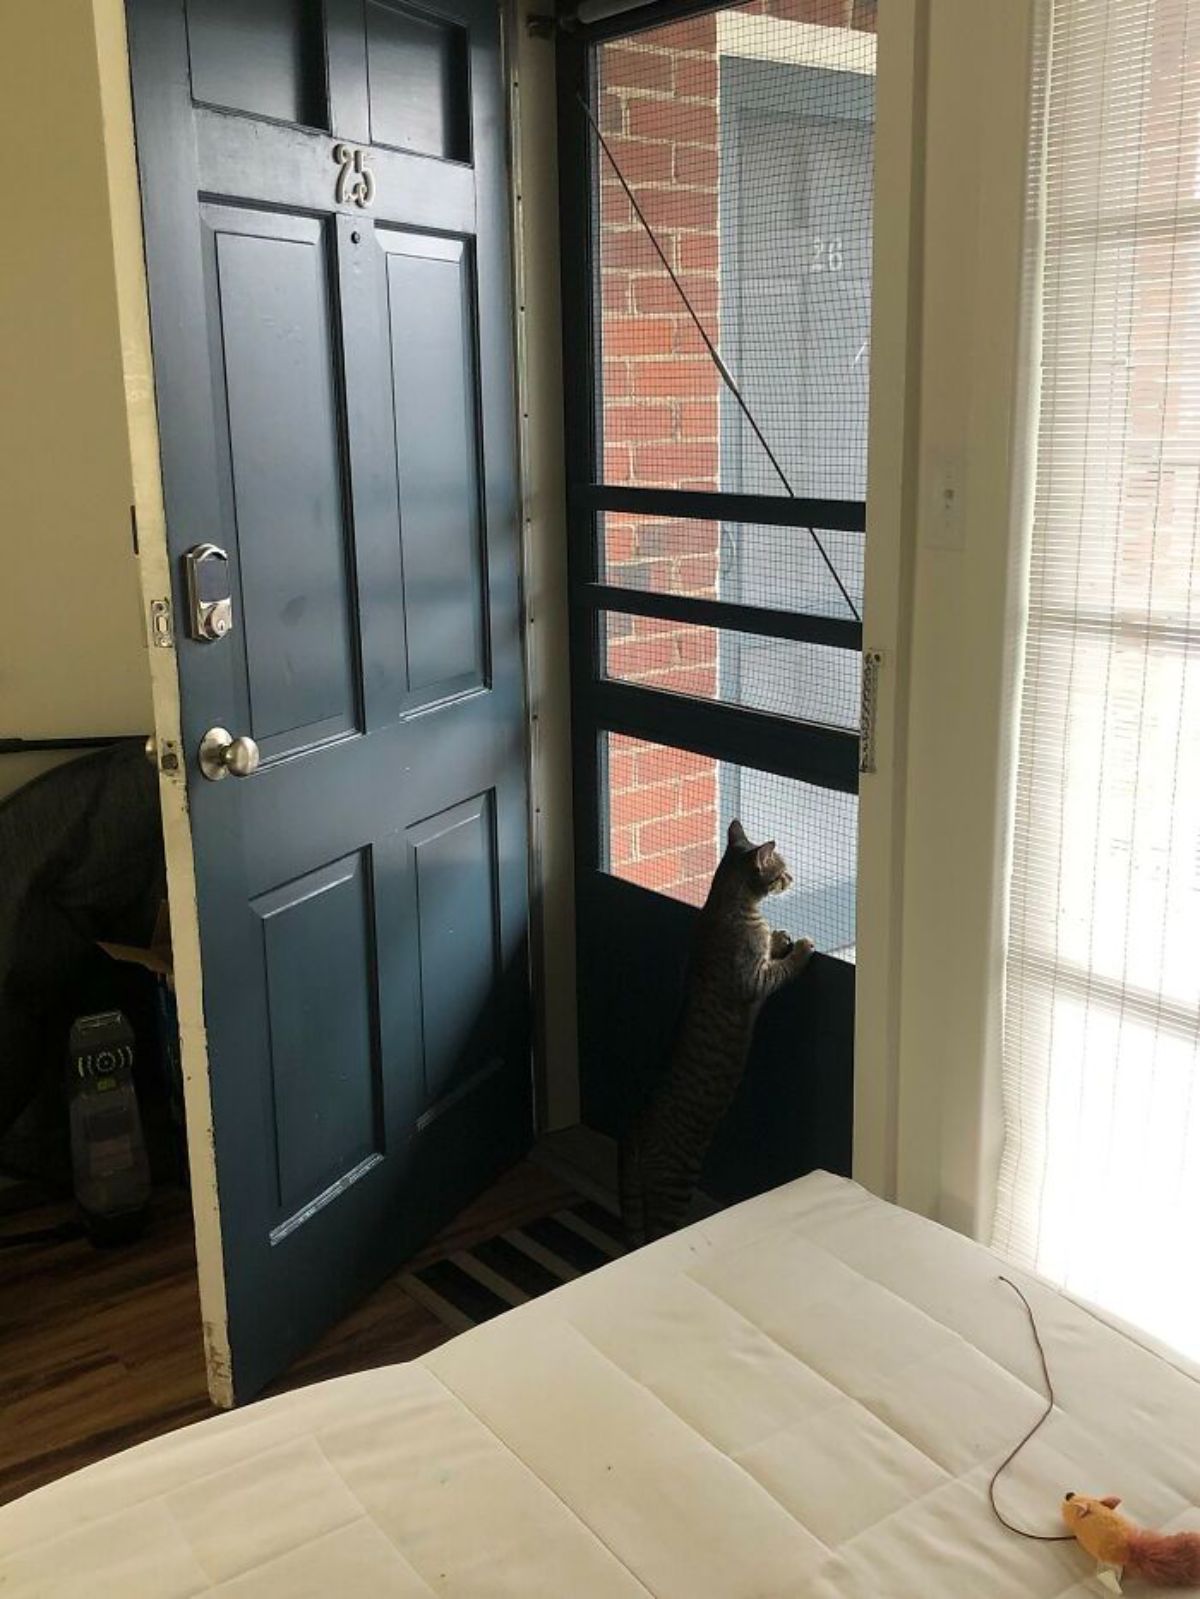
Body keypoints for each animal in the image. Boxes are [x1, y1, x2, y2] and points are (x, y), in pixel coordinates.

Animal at [620, 825, 819, 1247]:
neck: (724, 904)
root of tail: (633, 1132)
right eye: (782, 869)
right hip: (674, 1185)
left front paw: (780, 937)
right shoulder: (755, 979)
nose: (793, 877)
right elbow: (783, 967)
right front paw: (798, 946)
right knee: (656, 1234)